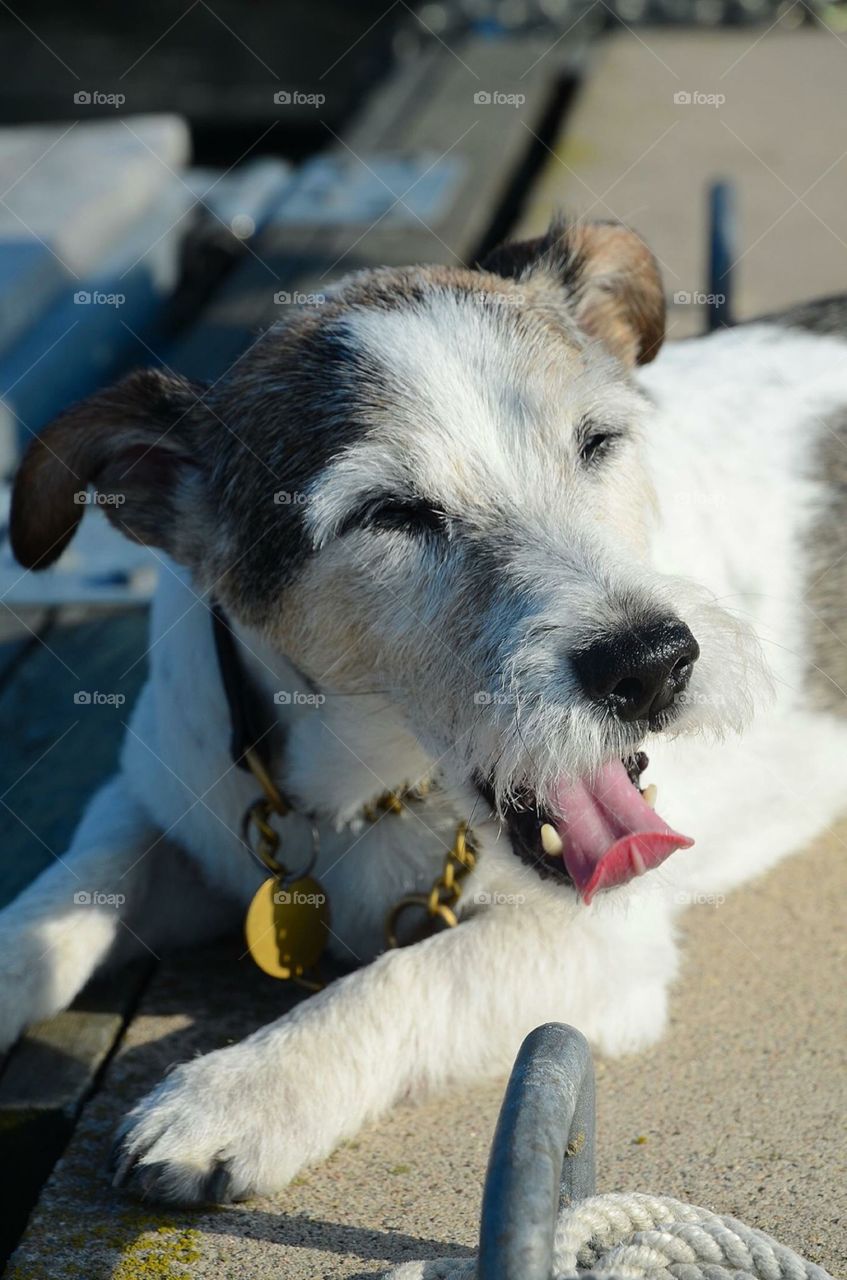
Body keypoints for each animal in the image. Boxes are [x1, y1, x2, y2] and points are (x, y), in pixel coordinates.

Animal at [4, 215, 847, 1203]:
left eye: (597, 442)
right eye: (390, 512)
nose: (650, 665)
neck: (356, 788)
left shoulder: (603, 940)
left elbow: (410, 976)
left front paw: (239, 1092)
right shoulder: (157, 805)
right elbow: (63, 899)